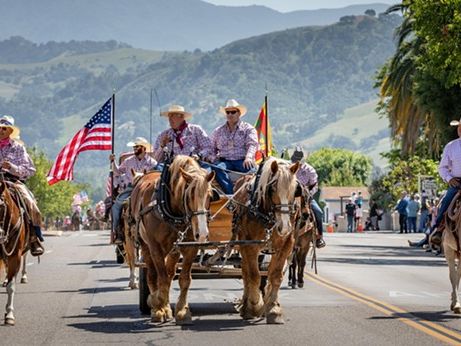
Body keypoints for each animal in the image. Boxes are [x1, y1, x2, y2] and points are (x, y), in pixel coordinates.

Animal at [130, 155, 215, 324]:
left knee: (169, 274)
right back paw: (158, 306)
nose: (202, 234)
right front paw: (158, 306)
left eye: (210, 196)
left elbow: (184, 279)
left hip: (173, 250)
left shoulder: (190, 246)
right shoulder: (155, 247)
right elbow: (160, 278)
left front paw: (182, 310)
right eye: (189, 195)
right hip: (146, 246)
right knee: (152, 276)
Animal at [234, 157, 298, 324]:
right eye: (273, 188)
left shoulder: (286, 244)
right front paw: (256, 306)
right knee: (246, 272)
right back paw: (246, 306)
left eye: (295, 190)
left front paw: (274, 308)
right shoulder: (249, 244)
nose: (284, 226)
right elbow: (254, 276)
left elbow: (275, 275)